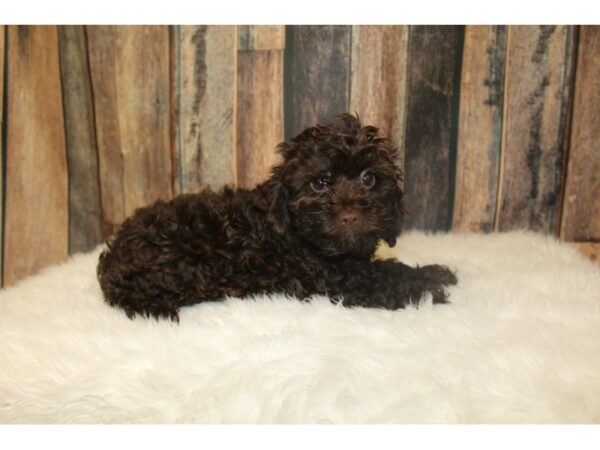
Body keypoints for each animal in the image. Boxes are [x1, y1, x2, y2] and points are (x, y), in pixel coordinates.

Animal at [98, 114, 458, 322]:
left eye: (369, 179)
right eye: (319, 183)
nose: (350, 214)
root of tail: (113, 254)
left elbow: (390, 266)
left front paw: (435, 271)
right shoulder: (339, 280)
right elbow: (383, 278)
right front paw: (428, 289)